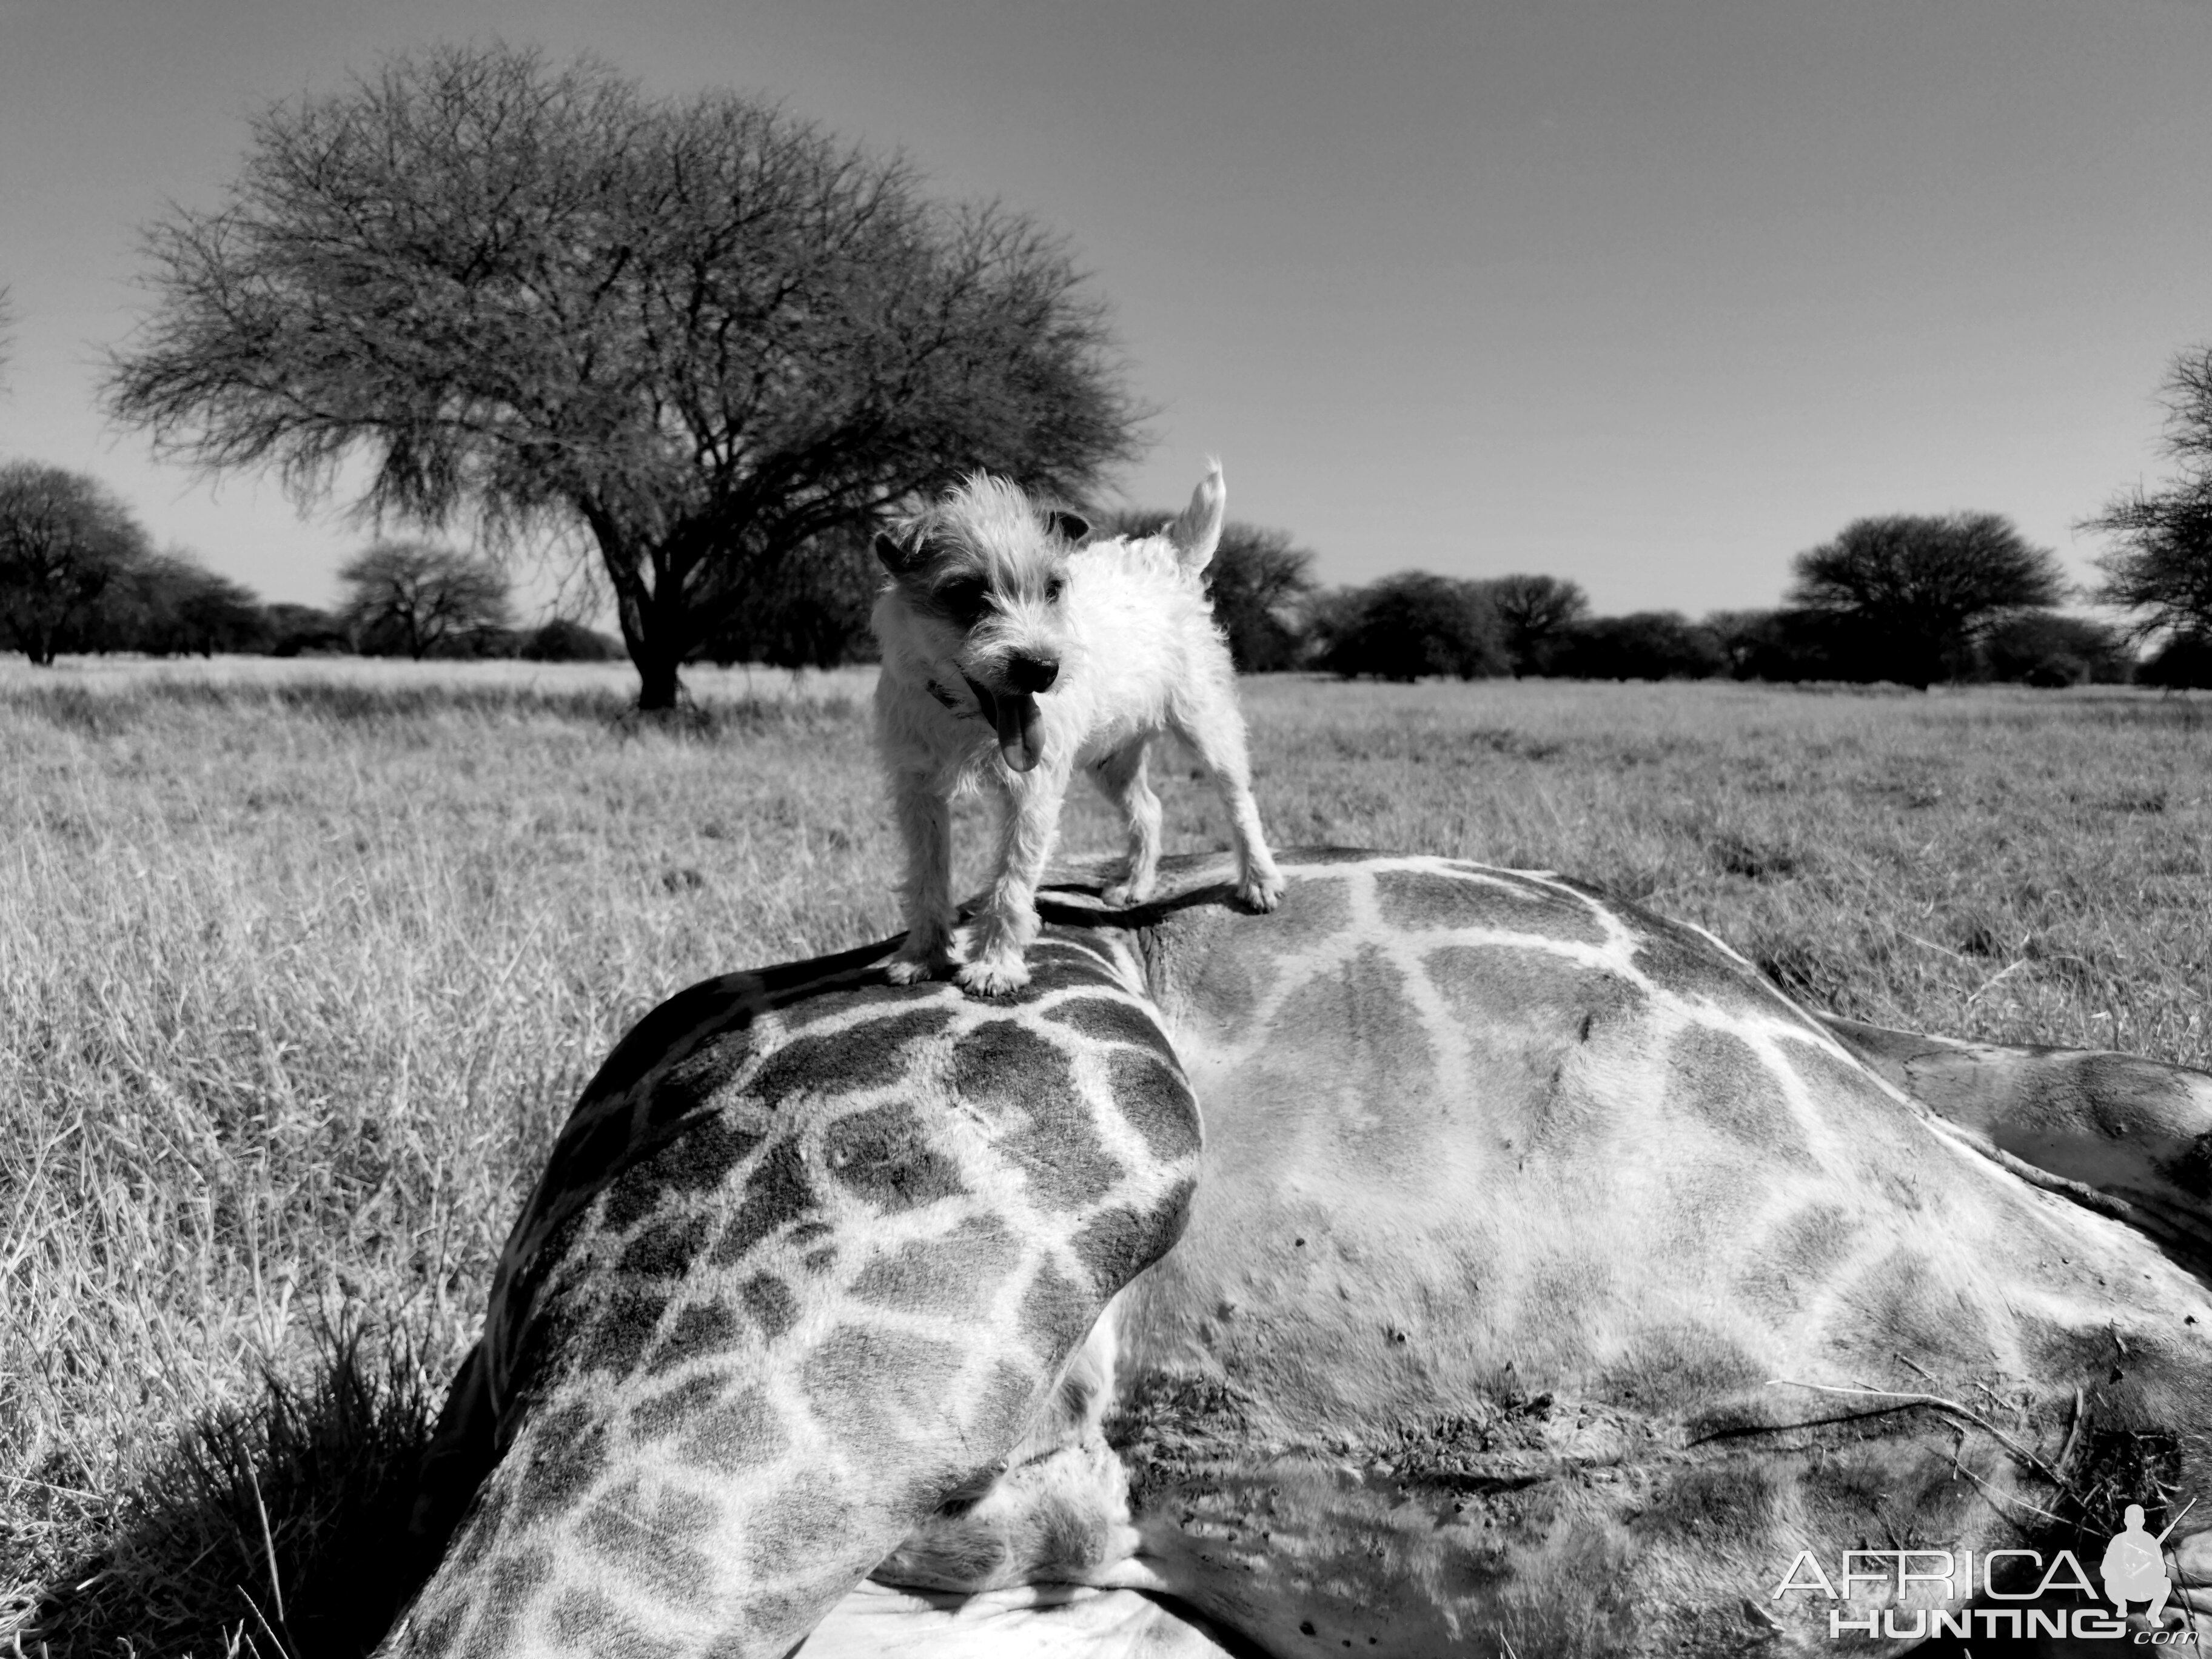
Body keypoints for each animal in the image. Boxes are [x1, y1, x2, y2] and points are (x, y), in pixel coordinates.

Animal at [862, 462, 1282, 995]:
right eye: (964, 594)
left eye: (1053, 590)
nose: (1044, 669)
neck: (963, 716)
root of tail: (1166, 559)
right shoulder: (918, 794)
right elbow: (926, 876)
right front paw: (923, 955)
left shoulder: (1032, 794)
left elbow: (1011, 880)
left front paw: (995, 964)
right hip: (1113, 762)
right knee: (1149, 810)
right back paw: (1136, 884)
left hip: (1208, 726)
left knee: (1239, 802)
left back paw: (1260, 881)